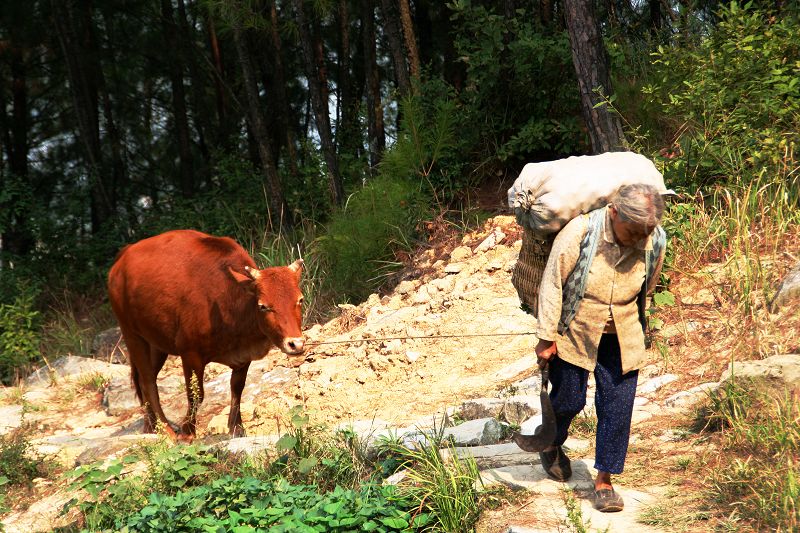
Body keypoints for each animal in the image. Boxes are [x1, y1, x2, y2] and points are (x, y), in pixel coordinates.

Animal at [107, 229, 306, 436]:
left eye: (300, 299)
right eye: (263, 306)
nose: (296, 344)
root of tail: (123, 256)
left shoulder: (243, 356)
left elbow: (237, 387)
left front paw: (237, 428)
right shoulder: (190, 353)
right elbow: (196, 394)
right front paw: (187, 433)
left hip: (156, 342)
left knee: (144, 380)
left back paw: (151, 426)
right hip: (131, 334)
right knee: (147, 382)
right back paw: (167, 430)